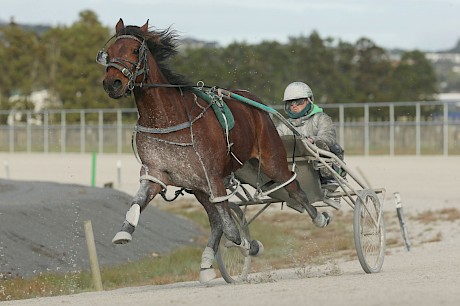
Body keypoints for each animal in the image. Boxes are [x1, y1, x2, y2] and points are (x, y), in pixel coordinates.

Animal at [98, 18, 330, 282]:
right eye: (109, 53)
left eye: (136, 50)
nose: (112, 83)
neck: (167, 119)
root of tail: (254, 101)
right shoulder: (157, 173)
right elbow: (137, 203)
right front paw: (123, 232)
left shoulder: (213, 176)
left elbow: (232, 231)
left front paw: (249, 245)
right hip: (199, 186)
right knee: (216, 220)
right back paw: (207, 264)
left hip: (271, 158)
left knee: (294, 187)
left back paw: (319, 217)